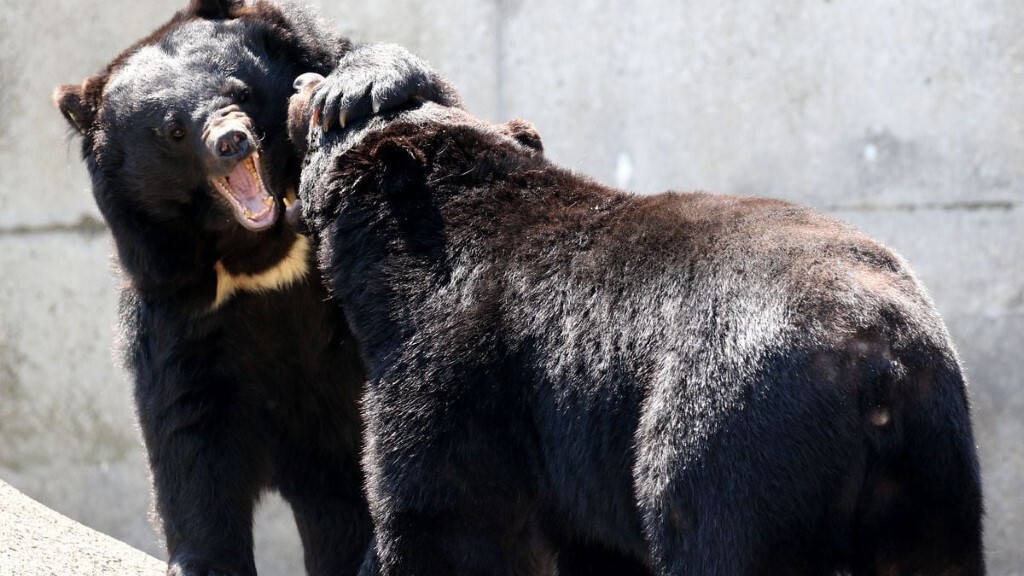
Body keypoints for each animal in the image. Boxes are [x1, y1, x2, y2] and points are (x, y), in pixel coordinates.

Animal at [52, 1, 458, 575]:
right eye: (173, 130)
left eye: (240, 90)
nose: (231, 140)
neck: (264, 250)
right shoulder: (179, 301)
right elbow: (191, 423)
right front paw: (203, 561)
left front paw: (353, 89)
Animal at [289, 72, 985, 576]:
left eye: (328, 118)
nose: (303, 81)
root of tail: (877, 364)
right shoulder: (569, 447)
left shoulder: (458, 375)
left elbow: (443, 515)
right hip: (934, 464)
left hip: (731, 431)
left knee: (712, 535)